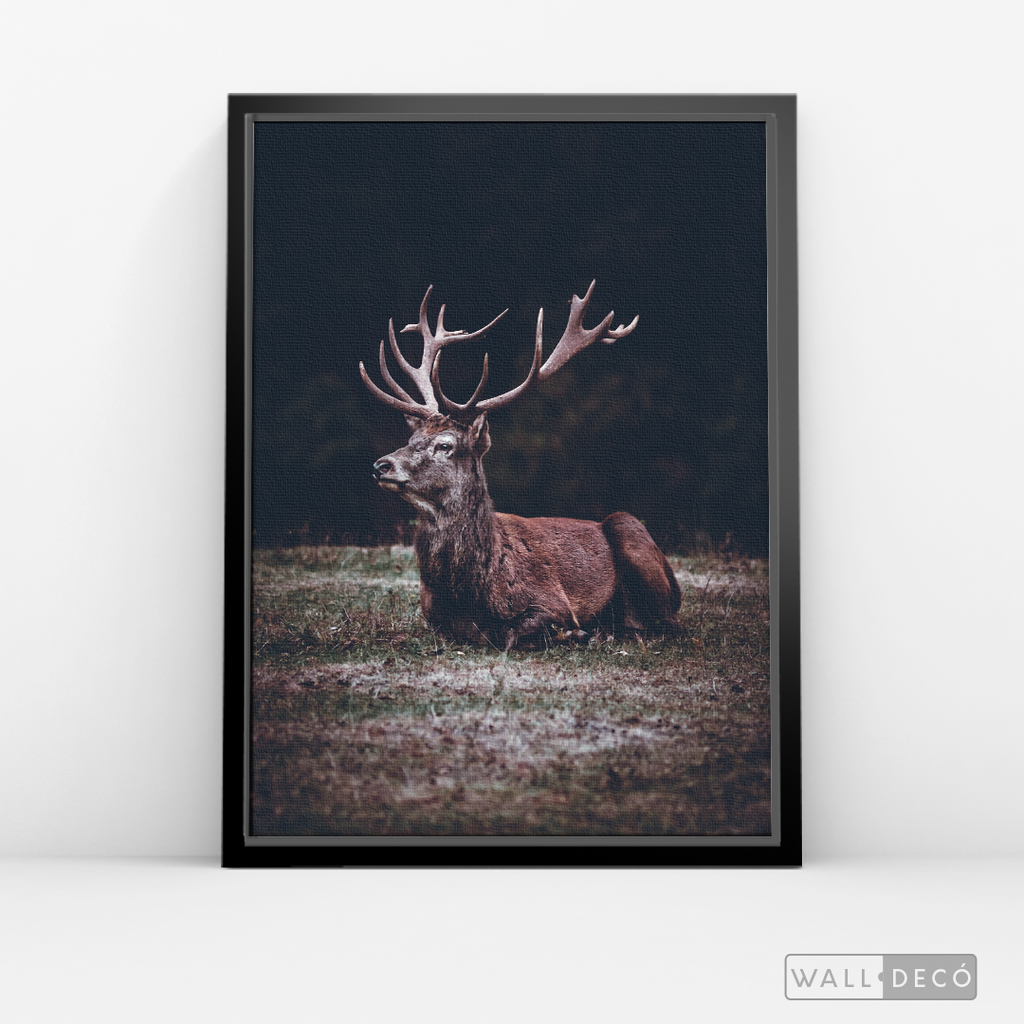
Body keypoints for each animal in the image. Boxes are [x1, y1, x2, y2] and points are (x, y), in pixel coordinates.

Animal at [360, 281, 682, 650]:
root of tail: (677, 588)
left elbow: (513, 633)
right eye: (411, 439)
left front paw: (576, 632)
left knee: (669, 625)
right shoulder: (432, 615)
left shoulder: (552, 600)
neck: (467, 593)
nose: (381, 465)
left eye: (446, 445)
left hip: (630, 530)